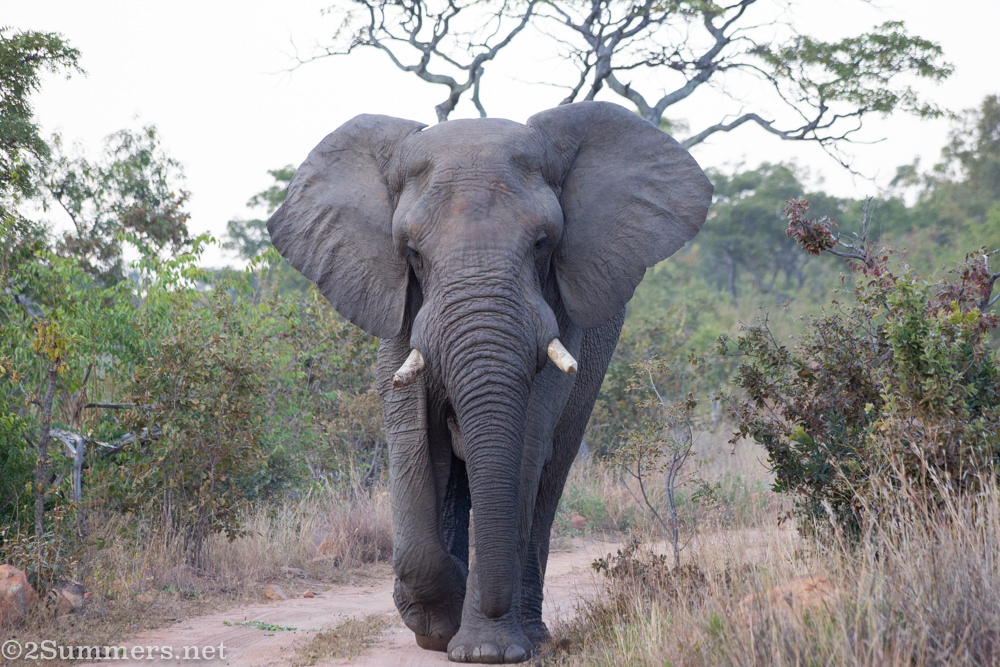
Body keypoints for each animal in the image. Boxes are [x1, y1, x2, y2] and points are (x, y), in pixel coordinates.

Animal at [266, 101, 712, 663]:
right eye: (410, 253)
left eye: (543, 244)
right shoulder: (397, 305)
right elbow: (412, 435)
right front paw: (438, 626)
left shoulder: (560, 315)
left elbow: (525, 442)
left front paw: (485, 649)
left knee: (548, 476)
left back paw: (533, 635)